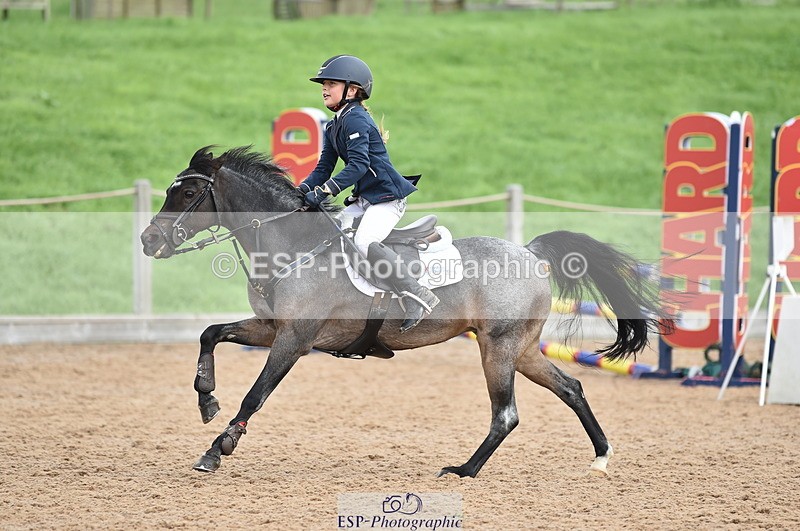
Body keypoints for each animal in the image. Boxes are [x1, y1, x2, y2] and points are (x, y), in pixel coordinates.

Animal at [140, 146, 671, 477]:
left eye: (187, 194)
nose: (148, 241)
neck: (292, 244)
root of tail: (529, 251)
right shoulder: (272, 327)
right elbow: (211, 333)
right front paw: (207, 400)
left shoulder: (295, 338)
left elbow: (256, 395)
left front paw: (218, 449)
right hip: (519, 348)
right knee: (571, 387)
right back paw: (600, 456)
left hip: (498, 348)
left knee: (506, 414)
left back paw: (464, 470)